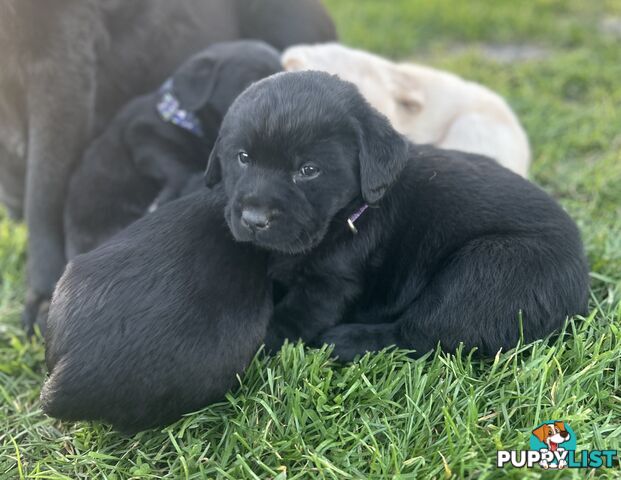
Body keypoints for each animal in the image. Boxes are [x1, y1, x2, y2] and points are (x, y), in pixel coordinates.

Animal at [206, 72, 588, 360]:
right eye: (242, 157)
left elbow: (290, 318)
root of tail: (582, 286)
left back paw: (346, 340)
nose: (254, 219)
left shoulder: (329, 285)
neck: (350, 214)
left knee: (423, 333)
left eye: (308, 170)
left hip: (490, 268)